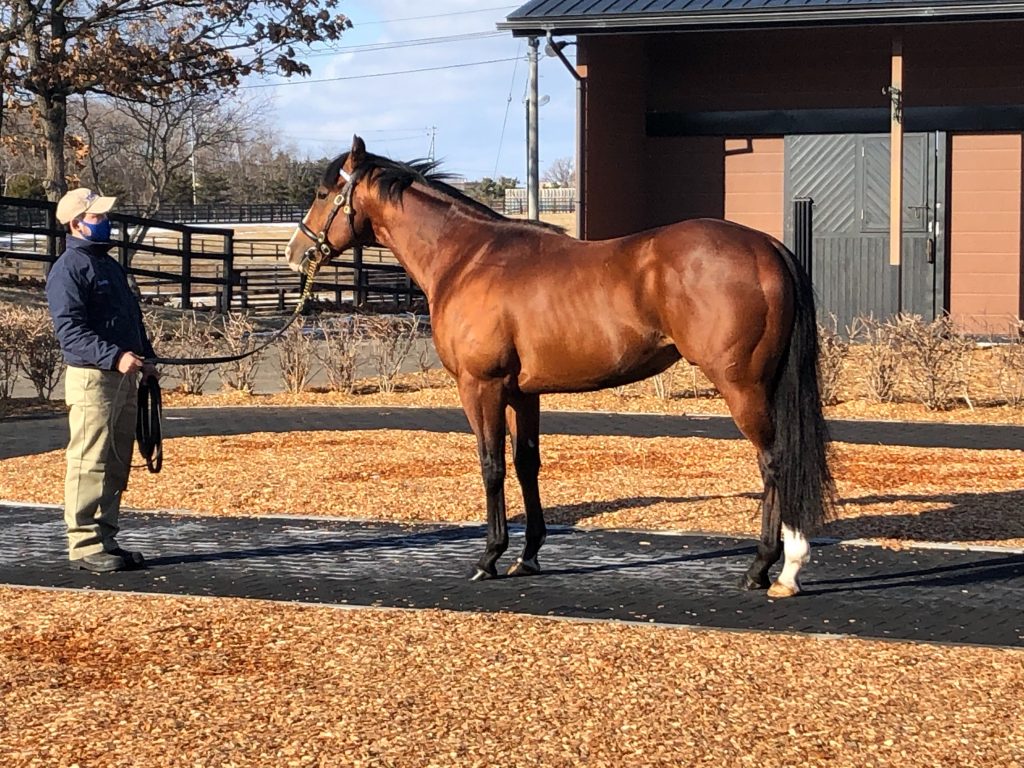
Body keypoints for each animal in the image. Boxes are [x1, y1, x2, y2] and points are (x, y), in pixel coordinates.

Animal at [286, 135, 831, 598]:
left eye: (322, 192)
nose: (297, 253)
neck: (466, 257)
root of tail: (766, 247)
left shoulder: (480, 387)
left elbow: (490, 465)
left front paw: (489, 557)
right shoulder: (522, 392)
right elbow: (526, 464)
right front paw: (527, 556)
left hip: (742, 385)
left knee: (774, 461)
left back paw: (773, 569)